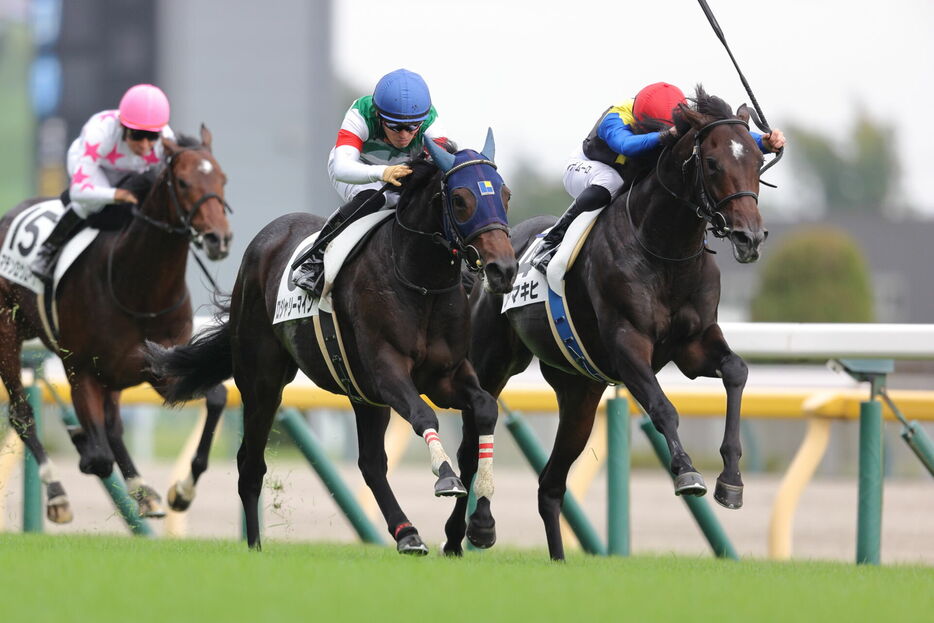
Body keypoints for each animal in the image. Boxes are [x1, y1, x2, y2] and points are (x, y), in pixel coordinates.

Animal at [0, 128, 233, 528]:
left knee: (112, 425)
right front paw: (81, 443)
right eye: (183, 182)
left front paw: (182, 492)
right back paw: (58, 494)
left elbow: (217, 398)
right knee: (22, 413)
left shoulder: (162, 368)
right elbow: (97, 456)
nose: (219, 238)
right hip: (8, 332)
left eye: (222, 178)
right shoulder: (80, 369)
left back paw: (145, 492)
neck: (138, 290)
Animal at [144, 134, 520, 552]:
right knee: (250, 463)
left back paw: (407, 533)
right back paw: (255, 546)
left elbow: (485, 408)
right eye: (459, 199)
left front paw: (482, 523)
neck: (420, 281)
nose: (503, 269)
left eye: (504, 194)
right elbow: (424, 415)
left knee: (371, 464)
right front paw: (445, 477)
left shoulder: (446, 376)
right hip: (262, 380)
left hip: (362, 395)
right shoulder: (386, 370)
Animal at [442, 88, 772, 560]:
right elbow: (663, 408)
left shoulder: (695, 344)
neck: (665, 250)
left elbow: (737, 371)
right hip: (491, 364)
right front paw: (687, 472)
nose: (750, 237)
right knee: (471, 448)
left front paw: (731, 480)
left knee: (550, 485)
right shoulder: (627, 345)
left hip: (579, 391)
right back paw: (464, 533)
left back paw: (557, 559)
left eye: (757, 162)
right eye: (712, 163)